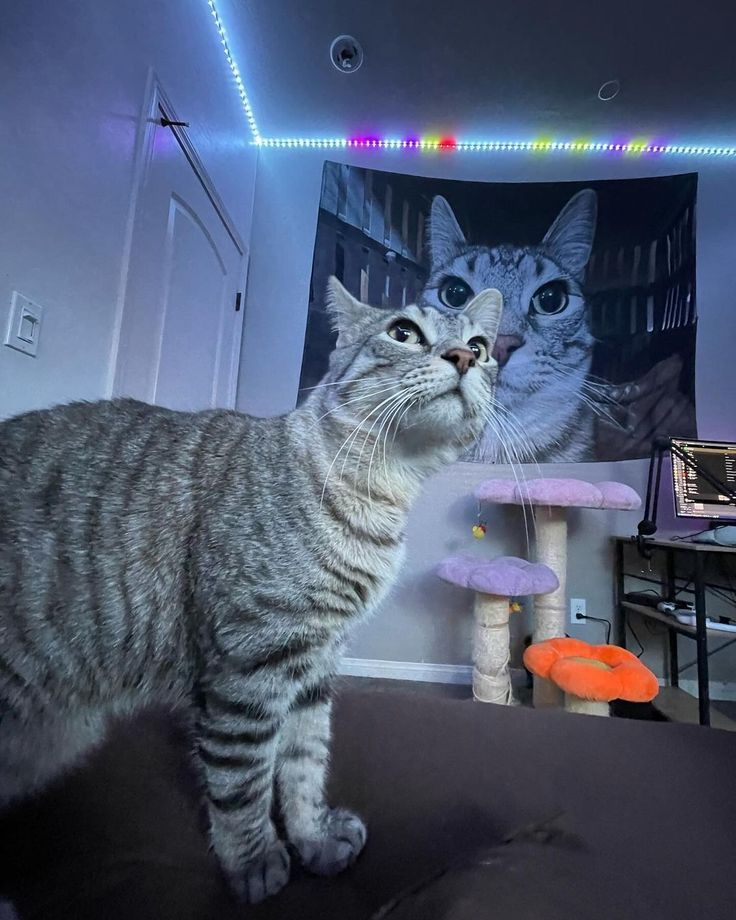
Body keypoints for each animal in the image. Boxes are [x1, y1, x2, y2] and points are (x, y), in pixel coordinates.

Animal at [0, 278, 502, 905]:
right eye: (403, 332)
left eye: (481, 346)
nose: (462, 357)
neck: (379, 493)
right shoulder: (249, 668)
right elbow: (243, 780)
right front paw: (255, 858)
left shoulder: (315, 664)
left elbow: (306, 759)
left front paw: (313, 837)